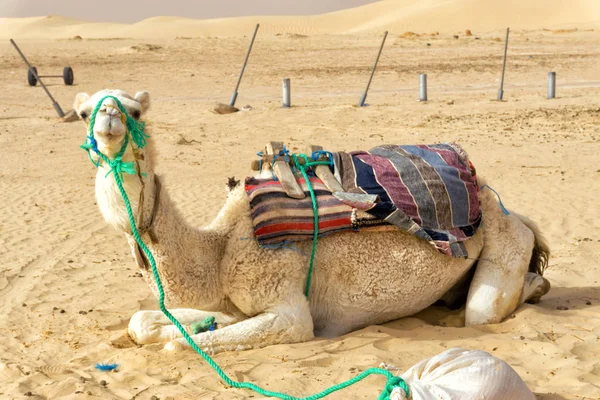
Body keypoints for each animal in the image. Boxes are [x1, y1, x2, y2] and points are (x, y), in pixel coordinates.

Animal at [76, 90, 552, 354]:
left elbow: (177, 343)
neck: (220, 251)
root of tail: (501, 203)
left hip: (505, 241)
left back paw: (536, 285)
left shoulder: (287, 307)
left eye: (136, 111)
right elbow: (143, 322)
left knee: (483, 311)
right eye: (84, 113)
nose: (109, 120)